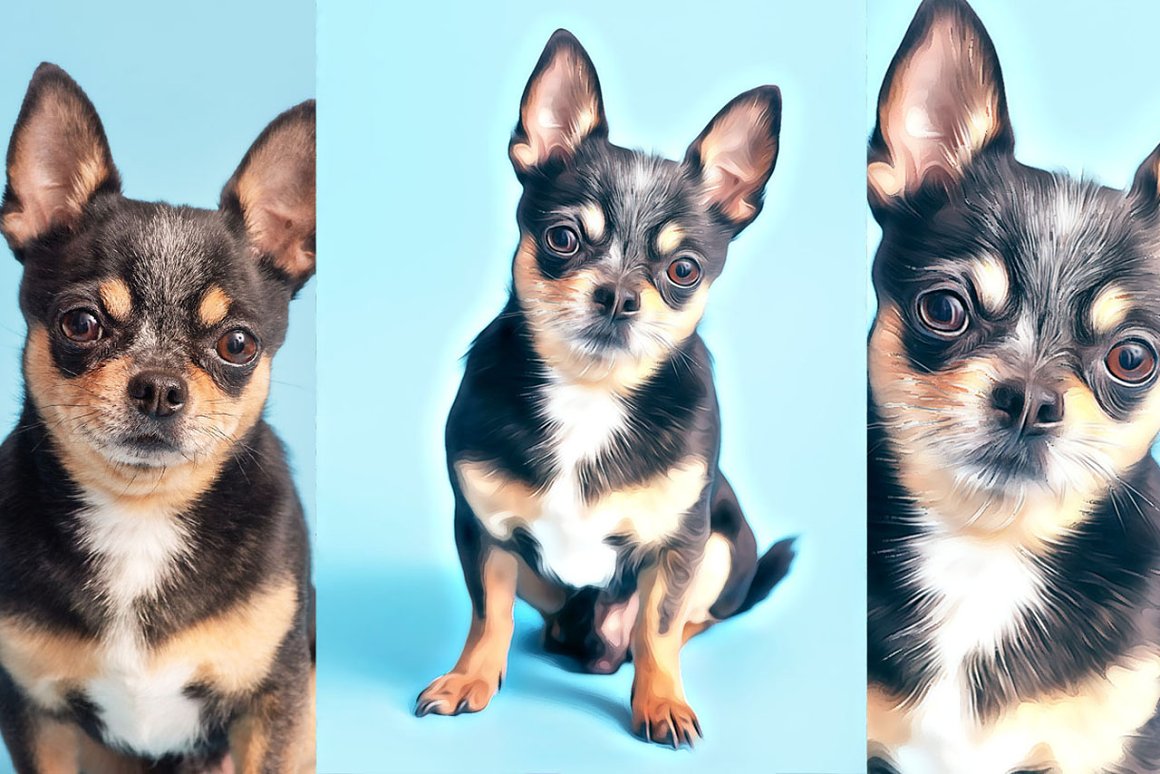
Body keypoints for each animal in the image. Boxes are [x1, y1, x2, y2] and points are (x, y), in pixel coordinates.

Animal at [0, 63, 315, 770]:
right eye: (81, 324)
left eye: (237, 343)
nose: (159, 388)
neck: (139, 515)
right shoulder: (36, 714)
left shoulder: (277, 701)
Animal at [410, 31, 798, 751]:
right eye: (562, 238)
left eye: (683, 270)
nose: (617, 293)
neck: (589, 391)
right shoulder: (484, 533)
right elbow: (489, 613)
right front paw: (470, 679)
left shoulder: (680, 543)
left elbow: (658, 625)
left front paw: (662, 700)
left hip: (724, 545)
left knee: (685, 621)